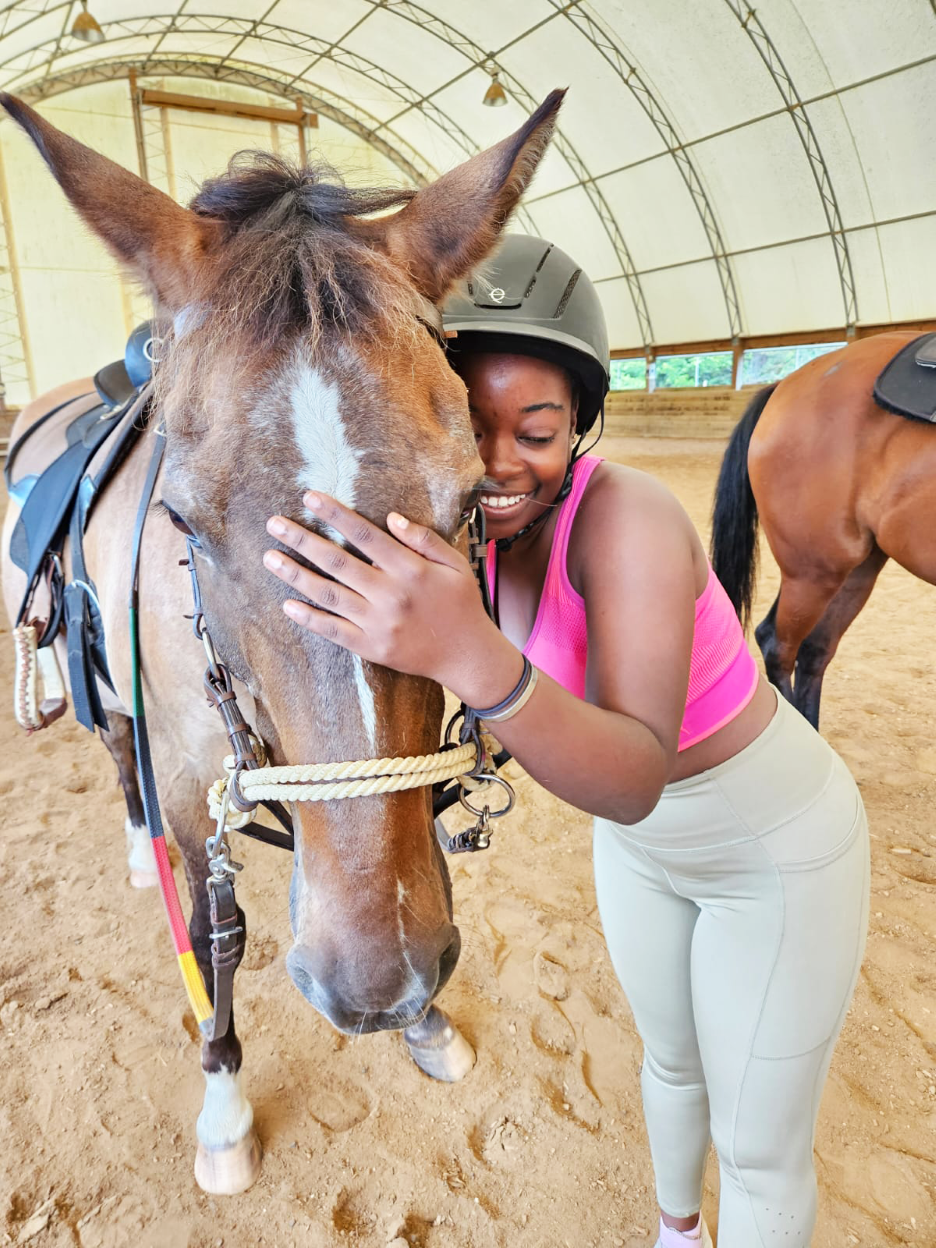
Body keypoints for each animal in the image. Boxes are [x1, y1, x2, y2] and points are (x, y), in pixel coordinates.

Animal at [0, 85, 564, 1188]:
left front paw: (425, 1023)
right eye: (181, 518)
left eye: (474, 498)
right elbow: (217, 931)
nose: (378, 985)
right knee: (117, 758)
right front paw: (224, 1106)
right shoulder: (192, 779)